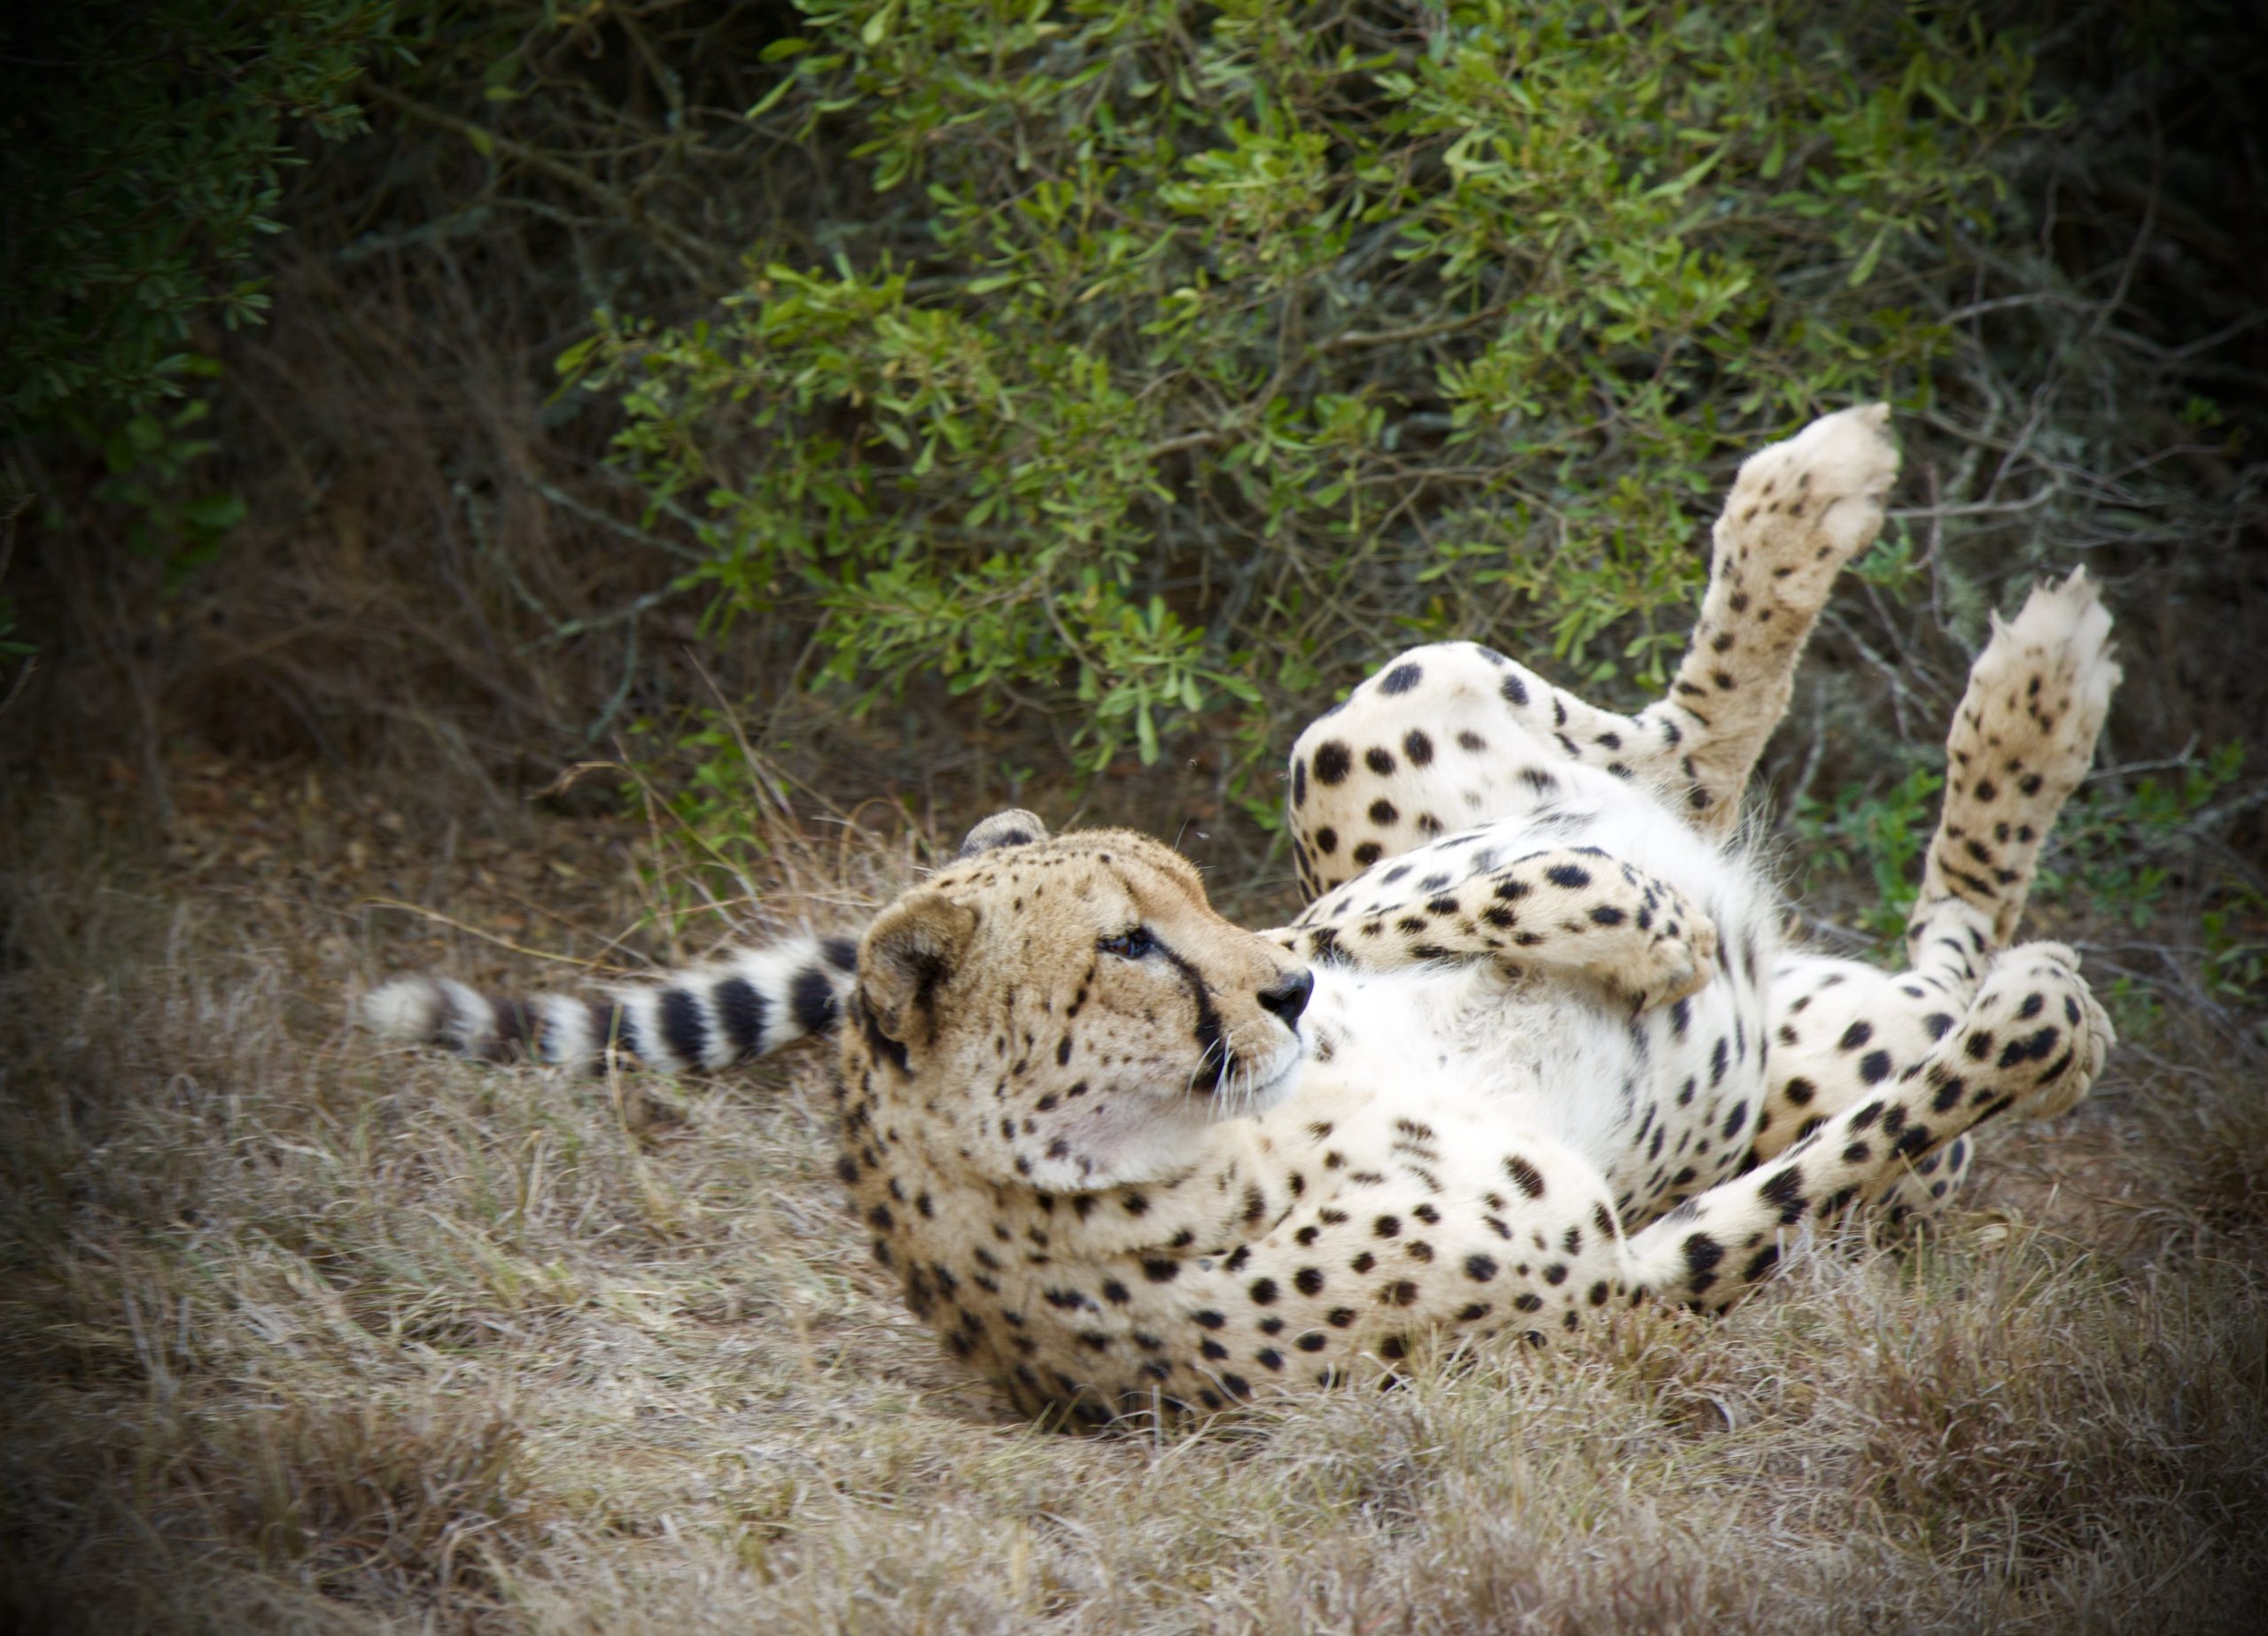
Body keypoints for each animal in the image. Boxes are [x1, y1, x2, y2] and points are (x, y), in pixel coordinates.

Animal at [363, 405, 2121, 1424]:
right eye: (1123, 947)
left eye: (1184, 894)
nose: (1274, 997)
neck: (1177, 1151)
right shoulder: (1617, 1290)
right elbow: (1843, 1157)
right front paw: (2053, 1025)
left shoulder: (1333, 908)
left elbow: (1425, 896)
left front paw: (1618, 916)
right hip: (1830, 1056)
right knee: (1914, 985)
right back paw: (2008, 734)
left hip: (1374, 716)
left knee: (1674, 763)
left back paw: (1882, 564)